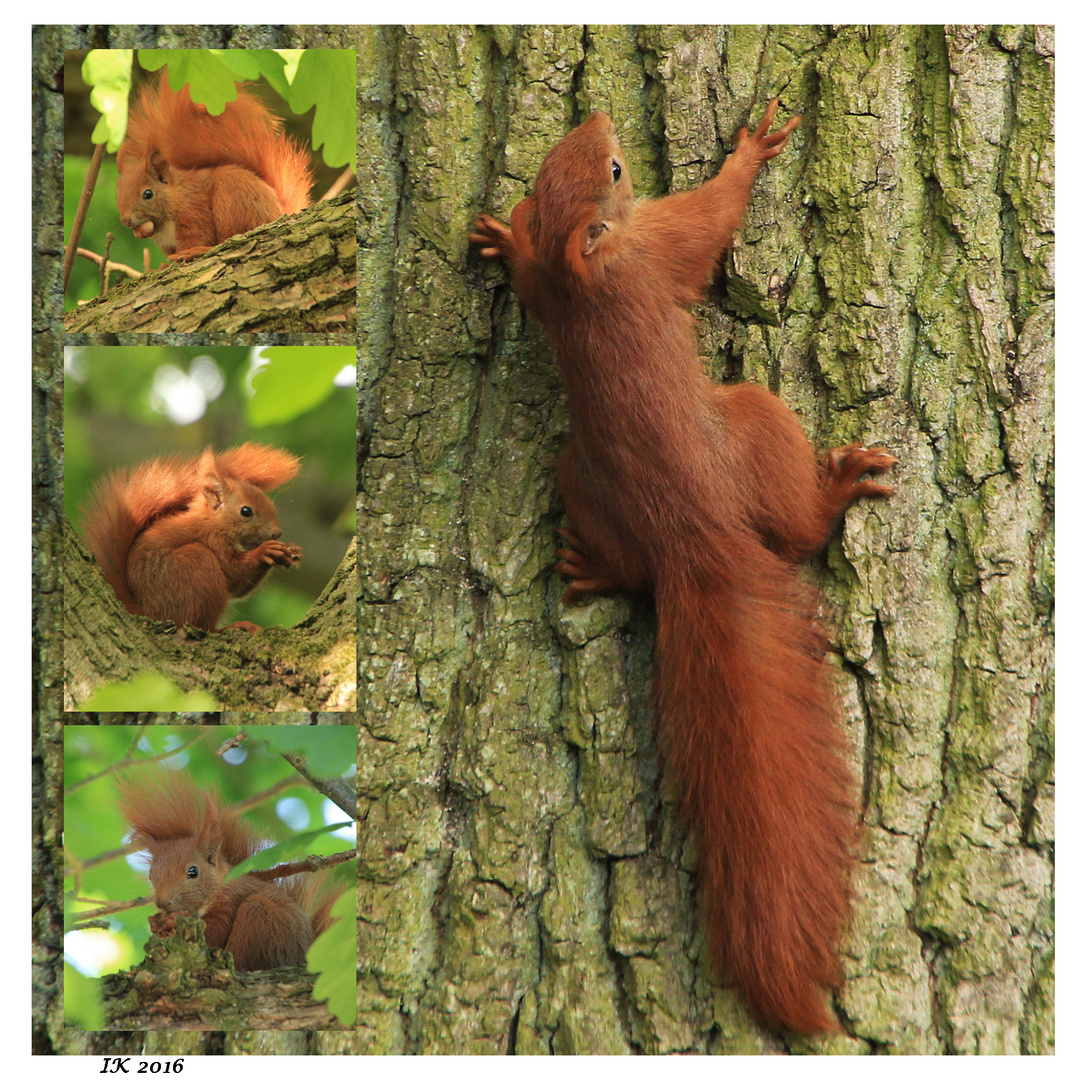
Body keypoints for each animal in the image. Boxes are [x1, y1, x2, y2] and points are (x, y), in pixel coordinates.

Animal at [81, 442, 302, 635]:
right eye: (246, 511)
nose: (277, 533)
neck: (212, 521)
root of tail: (149, 612)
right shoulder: (211, 538)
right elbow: (233, 573)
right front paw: (267, 550)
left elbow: (238, 588)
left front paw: (291, 550)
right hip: (197, 565)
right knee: (201, 626)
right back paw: (232, 627)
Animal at [114, 768, 343, 972]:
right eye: (151, 875)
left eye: (193, 872)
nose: (162, 903)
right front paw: (157, 926)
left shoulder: (230, 902)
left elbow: (215, 932)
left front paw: (170, 924)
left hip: (258, 916)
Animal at [117, 68, 313, 260]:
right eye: (117, 195)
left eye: (148, 194)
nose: (126, 220)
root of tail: (280, 211)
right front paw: (162, 266)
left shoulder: (194, 211)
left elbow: (198, 236)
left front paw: (187, 251)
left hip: (233, 195)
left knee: (226, 239)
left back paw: (198, 251)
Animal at [473, 103, 894, 1036]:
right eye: (618, 170)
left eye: (557, 165)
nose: (598, 113)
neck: (587, 268)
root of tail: (693, 540)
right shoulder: (658, 247)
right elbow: (710, 220)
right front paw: (750, 152)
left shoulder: (562, 283)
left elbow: (527, 277)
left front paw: (502, 238)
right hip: (756, 422)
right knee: (797, 529)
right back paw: (838, 490)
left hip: (580, 477)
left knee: (628, 566)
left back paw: (594, 568)